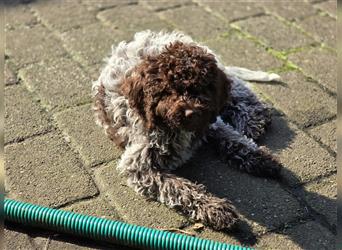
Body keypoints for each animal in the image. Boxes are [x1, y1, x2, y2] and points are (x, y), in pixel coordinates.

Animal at [92, 29, 282, 230]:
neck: (176, 129)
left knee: (237, 87)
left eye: (201, 87)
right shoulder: (140, 166)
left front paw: (260, 157)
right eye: (166, 91)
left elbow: (232, 137)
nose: (190, 113)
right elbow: (179, 188)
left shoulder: (210, 121)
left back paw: (253, 118)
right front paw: (214, 209)